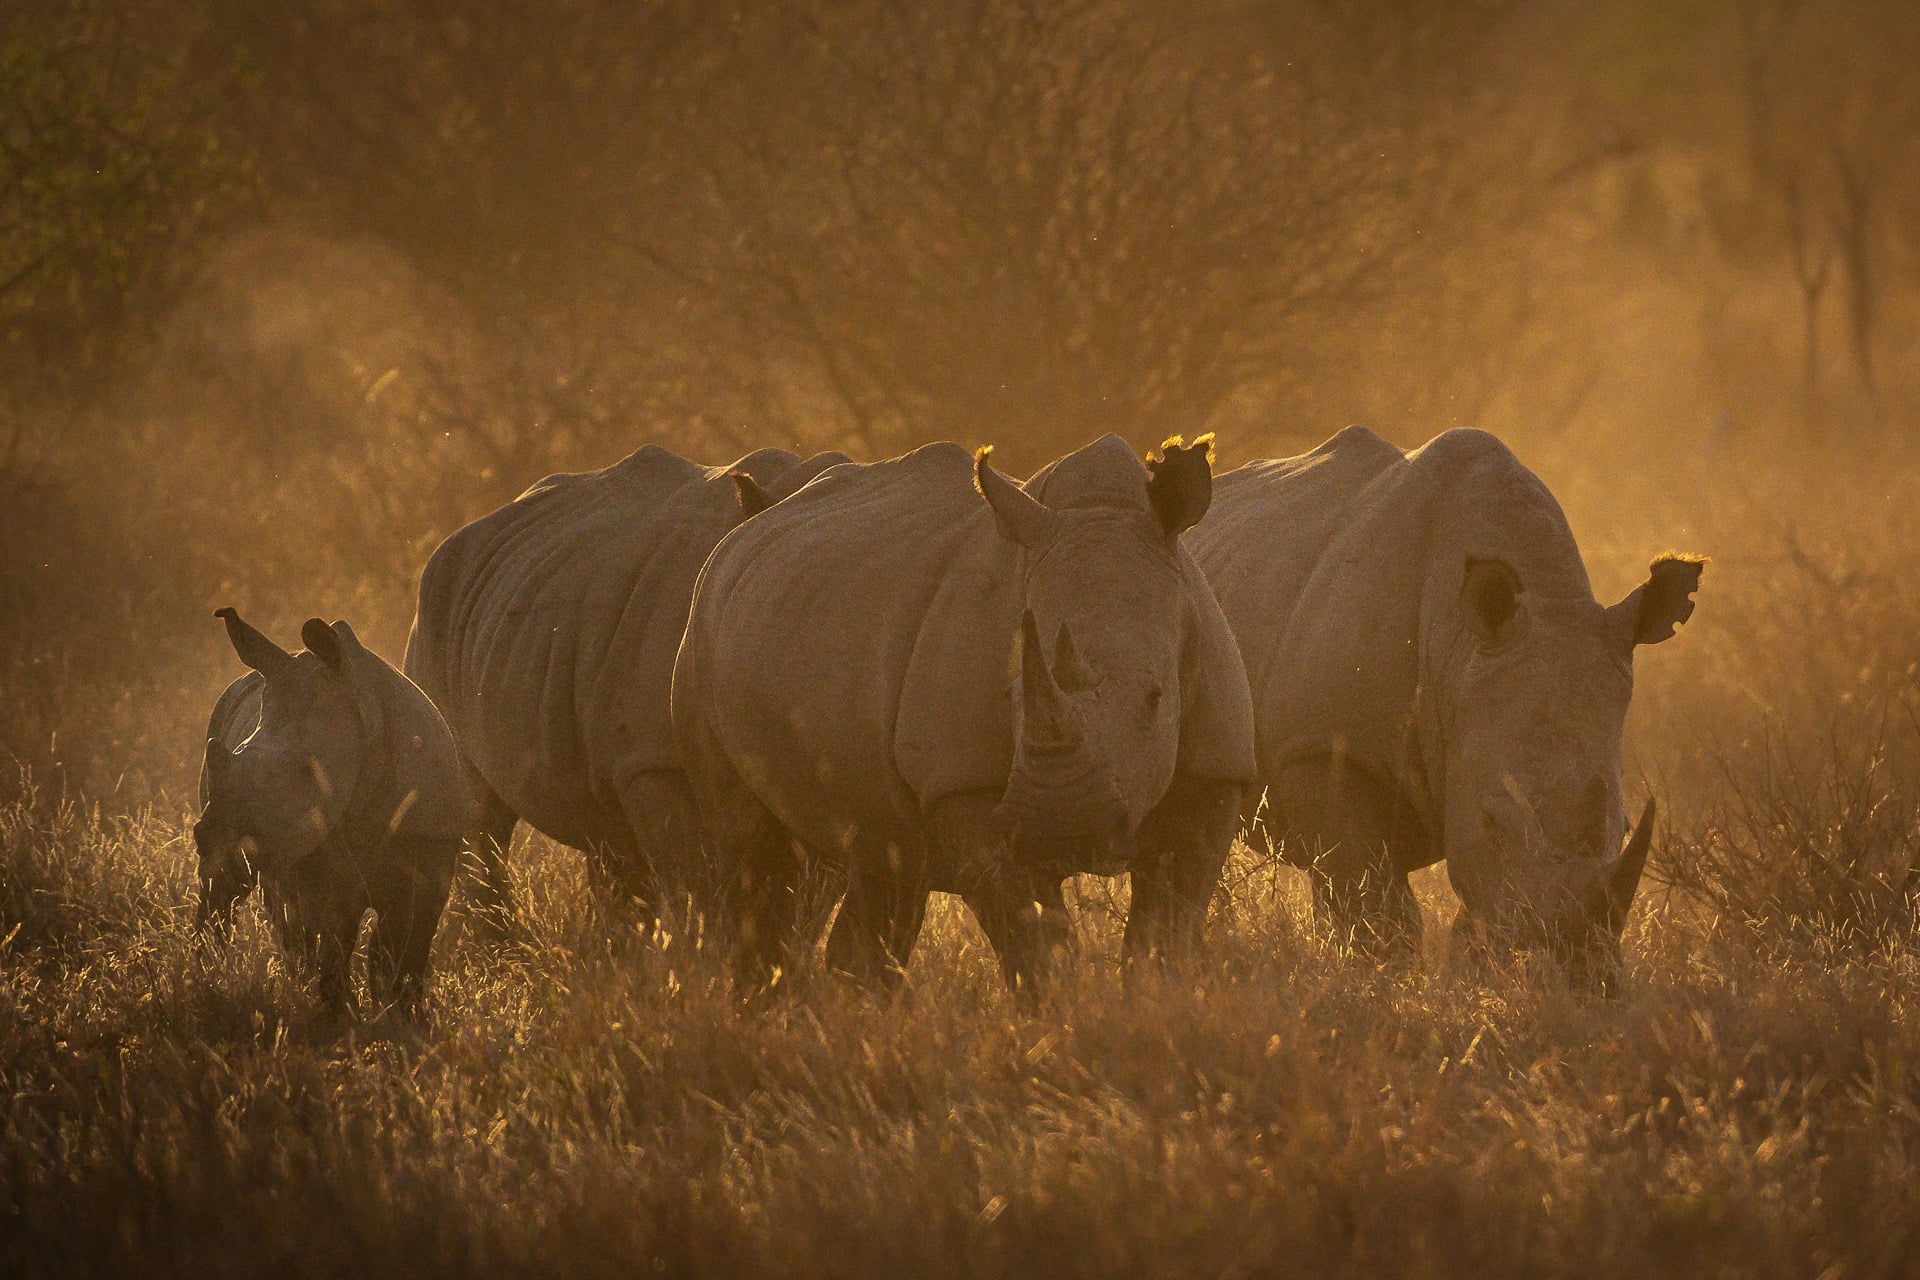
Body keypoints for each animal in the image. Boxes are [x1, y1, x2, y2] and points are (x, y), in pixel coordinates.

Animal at [195, 608, 467, 1015]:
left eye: (307, 770)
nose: (206, 836)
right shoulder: (314, 843)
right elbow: (338, 927)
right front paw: (340, 1013)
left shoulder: (429, 841)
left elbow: (402, 945)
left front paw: (401, 1014)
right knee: (233, 890)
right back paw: (206, 976)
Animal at [403, 445, 848, 927]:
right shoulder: (653, 760)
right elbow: (699, 886)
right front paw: (705, 946)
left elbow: (806, 894)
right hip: (436, 613)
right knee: (480, 815)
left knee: (607, 838)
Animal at [671, 434, 1255, 992]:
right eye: (1011, 700)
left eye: (1156, 699)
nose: (1062, 834)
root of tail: (733, 540)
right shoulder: (964, 787)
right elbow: (1035, 944)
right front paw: (1066, 1015)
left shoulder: (1213, 769)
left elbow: (1164, 933)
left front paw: (1150, 1004)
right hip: (700, 640)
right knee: (754, 856)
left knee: (885, 861)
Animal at [1187, 426, 1703, 989]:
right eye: (1492, 820)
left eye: (1626, 828)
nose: (1577, 974)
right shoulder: (1321, 749)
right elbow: (1376, 910)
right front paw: (1382, 984)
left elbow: (1469, 910)